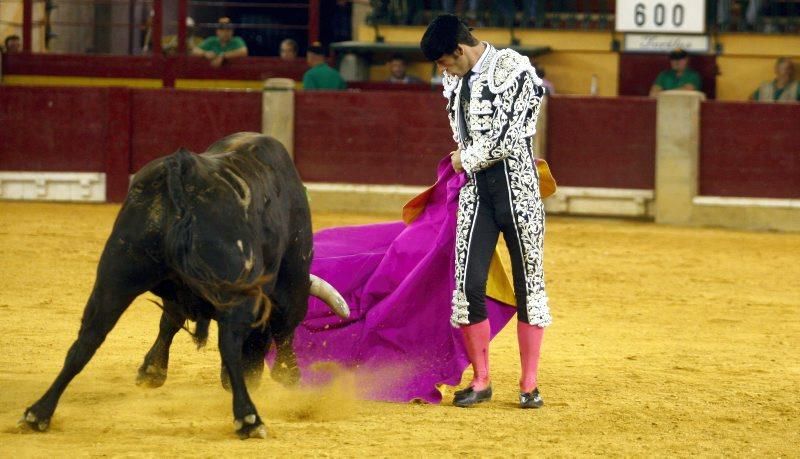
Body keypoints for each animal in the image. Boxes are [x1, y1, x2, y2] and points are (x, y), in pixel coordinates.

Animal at [18, 132, 348, 438]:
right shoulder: (291, 284)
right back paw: (248, 418)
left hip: (114, 277)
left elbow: (169, 321)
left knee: (87, 339)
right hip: (235, 288)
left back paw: (38, 413)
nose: (250, 377)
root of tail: (183, 170)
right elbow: (283, 330)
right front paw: (289, 375)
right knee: (229, 343)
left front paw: (151, 371)